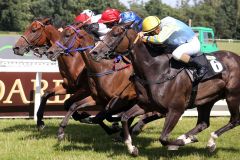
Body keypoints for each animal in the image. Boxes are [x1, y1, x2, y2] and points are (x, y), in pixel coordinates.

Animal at [89, 24, 240, 156]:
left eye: (115, 34)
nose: (94, 52)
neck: (157, 70)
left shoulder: (176, 109)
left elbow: (163, 138)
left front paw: (181, 142)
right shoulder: (146, 105)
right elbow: (125, 117)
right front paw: (132, 148)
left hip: (232, 95)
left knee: (234, 120)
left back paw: (209, 141)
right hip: (206, 100)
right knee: (203, 123)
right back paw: (190, 137)